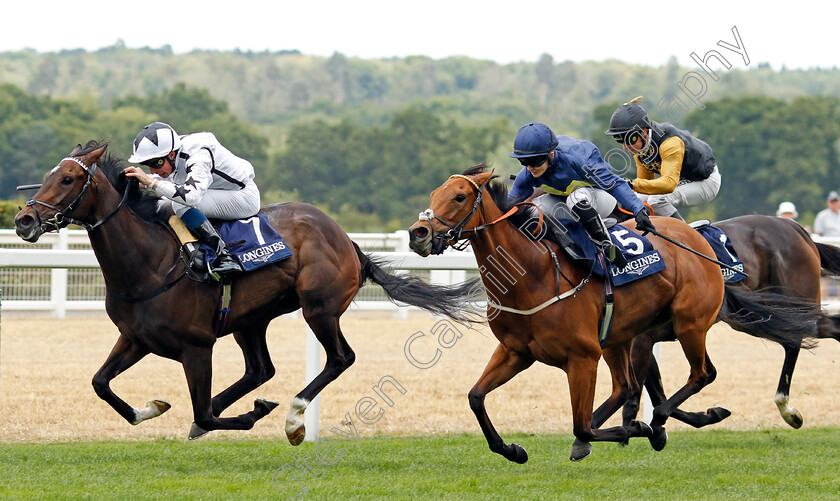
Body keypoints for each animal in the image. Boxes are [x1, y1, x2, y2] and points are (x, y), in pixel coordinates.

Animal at [13, 141, 480, 442]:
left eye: (68, 179)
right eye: (47, 176)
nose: (23, 220)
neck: (151, 263)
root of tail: (348, 241)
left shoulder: (196, 346)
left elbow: (203, 411)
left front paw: (255, 413)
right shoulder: (136, 338)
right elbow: (100, 384)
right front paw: (150, 409)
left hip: (318, 308)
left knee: (339, 358)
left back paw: (293, 418)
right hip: (250, 319)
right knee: (260, 369)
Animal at [410, 165, 824, 460]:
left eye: (459, 196)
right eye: (434, 194)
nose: (418, 233)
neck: (533, 273)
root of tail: (698, 241)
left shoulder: (582, 357)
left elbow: (583, 424)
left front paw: (633, 429)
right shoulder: (516, 352)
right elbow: (476, 397)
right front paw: (512, 450)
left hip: (690, 324)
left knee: (704, 372)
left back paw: (665, 423)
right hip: (622, 336)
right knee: (628, 385)